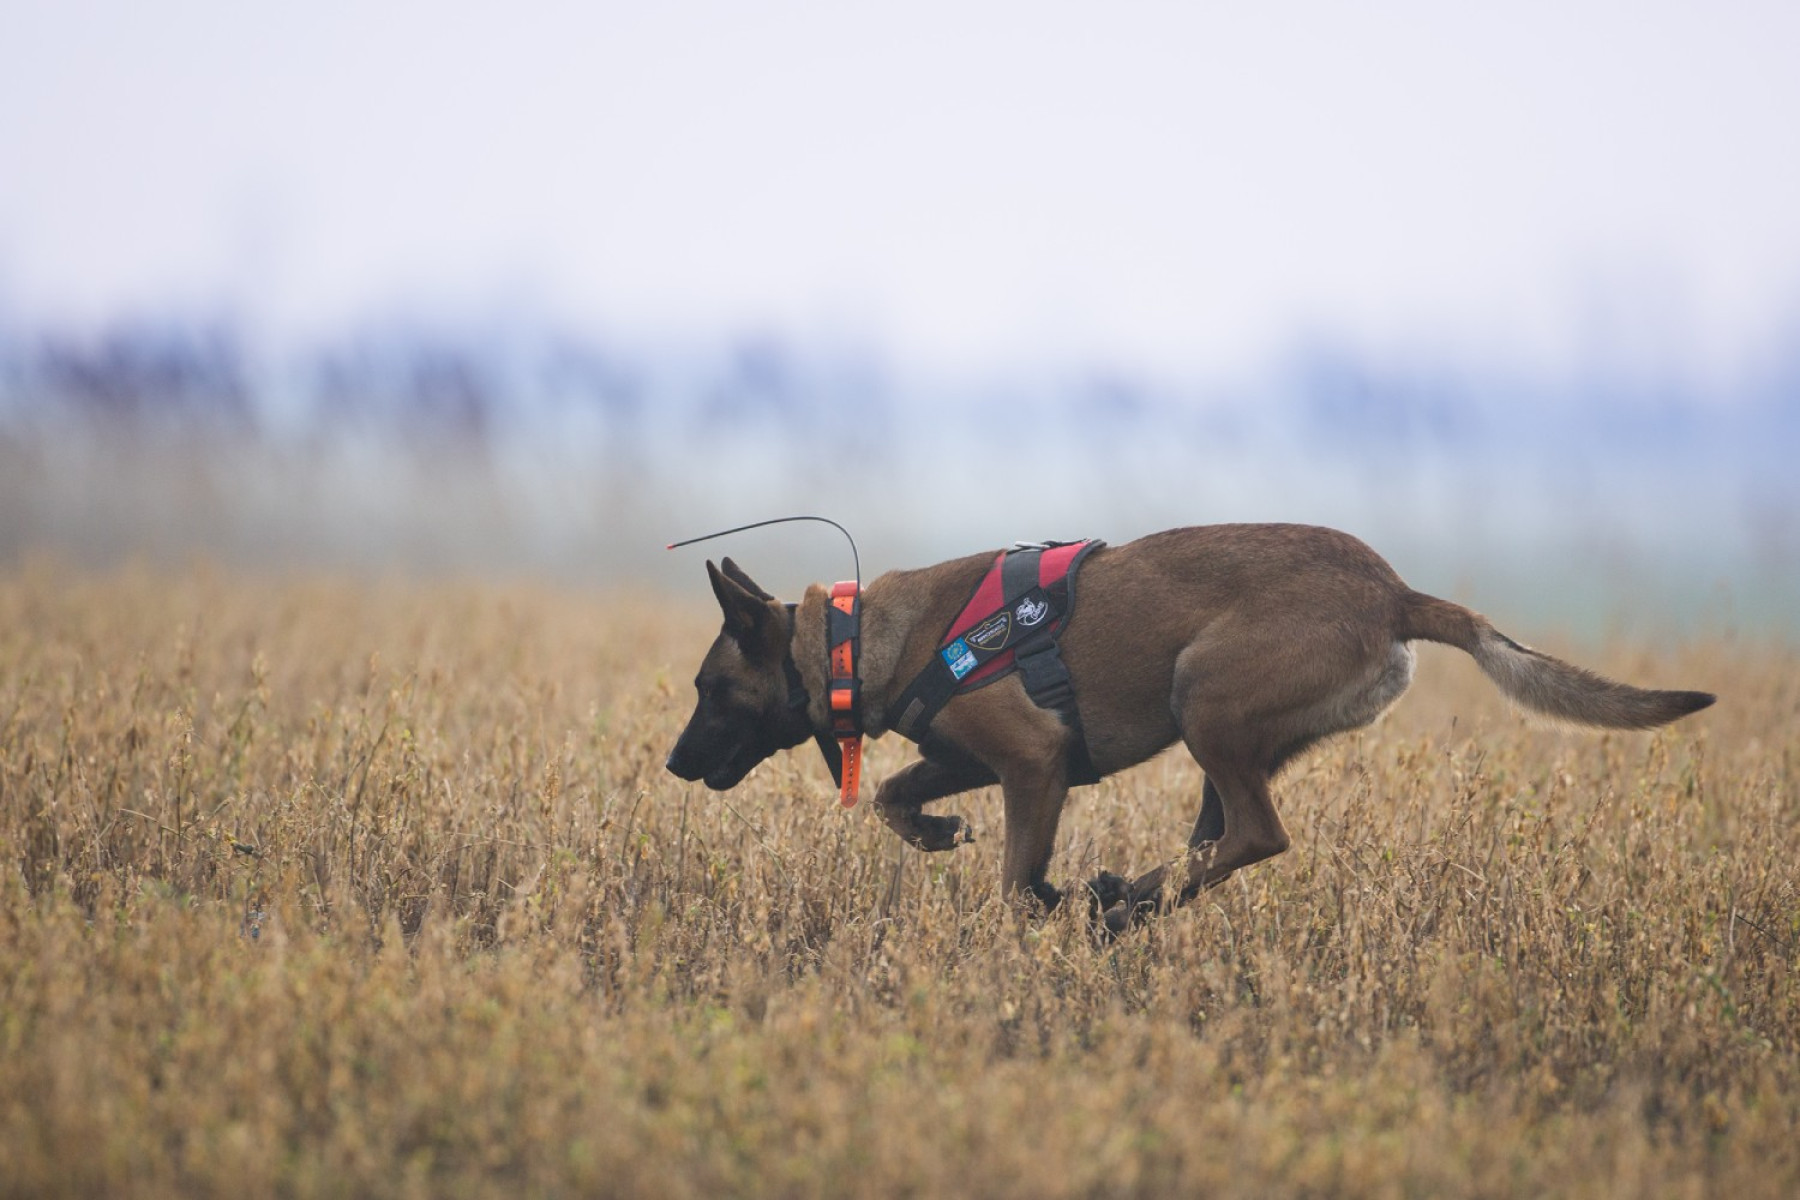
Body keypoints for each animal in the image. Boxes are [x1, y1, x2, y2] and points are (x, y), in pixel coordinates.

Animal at [666, 521, 1713, 928]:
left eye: (711, 689)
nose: (674, 765)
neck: (861, 640)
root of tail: (1394, 594)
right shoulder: (971, 757)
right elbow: (894, 792)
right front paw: (934, 831)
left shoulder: (1035, 763)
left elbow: (1011, 880)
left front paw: (1027, 911)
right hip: (1231, 733)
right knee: (1218, 842)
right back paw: (1125, 903)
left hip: (1203, 694)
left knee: (1254, 834)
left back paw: (1118, 905)